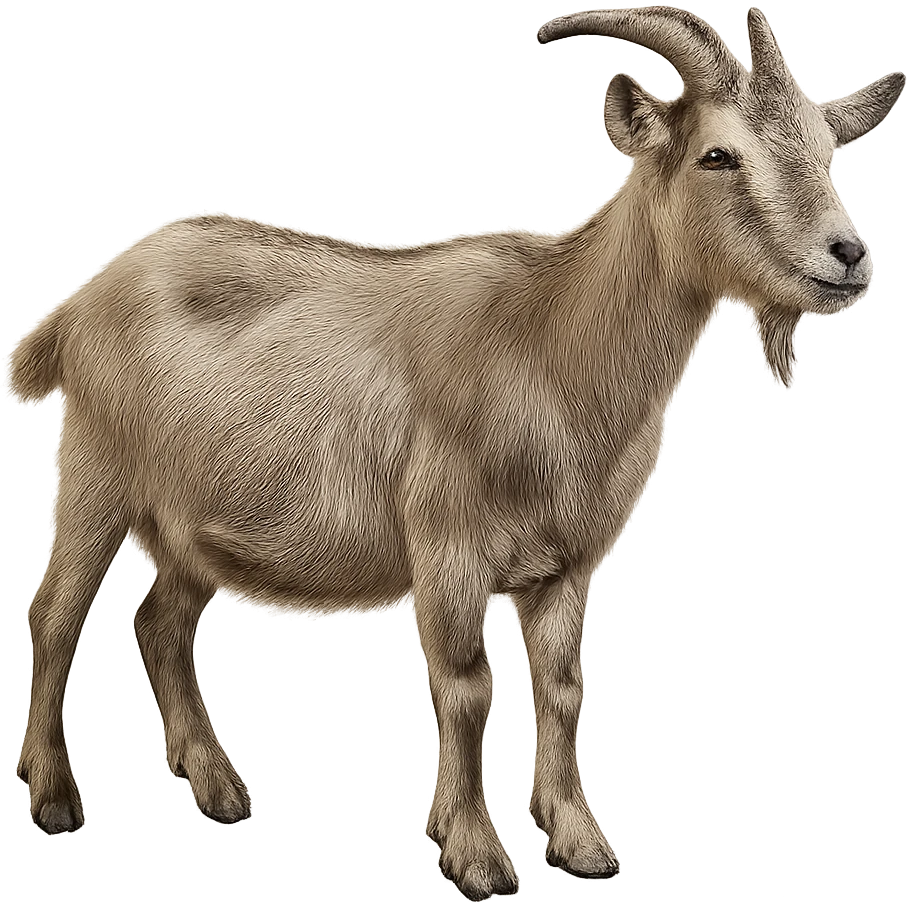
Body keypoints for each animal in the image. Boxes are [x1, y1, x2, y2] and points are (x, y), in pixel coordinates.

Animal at [4, 5, 902, 898]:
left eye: (827, 150)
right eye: (718, 154)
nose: (847, 253)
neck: (551, 341)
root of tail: (78, 302)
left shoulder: (566, 564)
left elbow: (561, 685)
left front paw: (578, 841)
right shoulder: (448, 545)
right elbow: (466, 684)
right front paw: (474, 854)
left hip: (193, 522)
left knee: (160, 622)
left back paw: (218, 785)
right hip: (94, 472)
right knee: (56, 613)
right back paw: (53, 797)